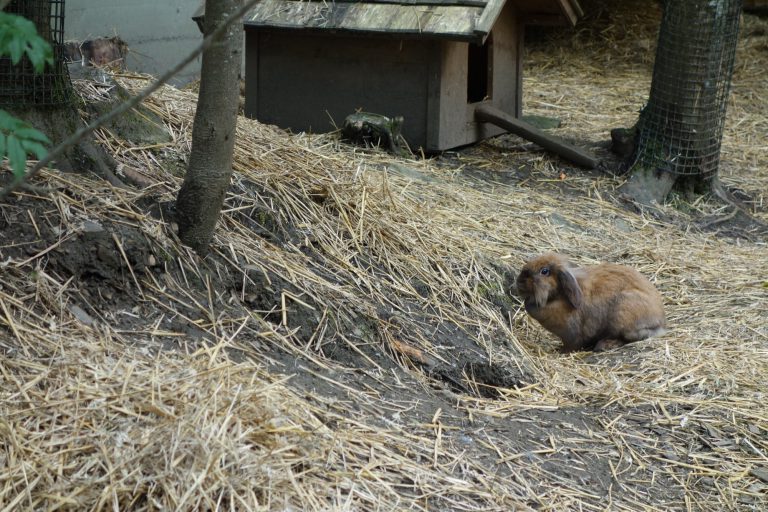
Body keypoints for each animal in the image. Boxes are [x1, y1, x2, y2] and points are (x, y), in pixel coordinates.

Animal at [516, 253, 664, 352]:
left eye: (544, 271)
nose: (519, 281)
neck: (560, 296)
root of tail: (660, 321)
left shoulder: (571, 335)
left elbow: (571, 346)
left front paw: (560, 351)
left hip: (623, 314)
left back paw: (605, 345)